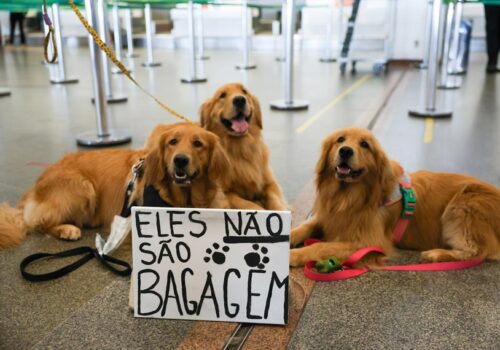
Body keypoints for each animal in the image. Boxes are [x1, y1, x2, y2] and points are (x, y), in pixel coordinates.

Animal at [0, 123, 230, 249]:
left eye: (198, 144)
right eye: (173, 142)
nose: (180, 160)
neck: (185, 199)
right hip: (83, 187)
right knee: (39, 222)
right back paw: (67, 229)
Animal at [197, 82, 288, 211]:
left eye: (244, 92)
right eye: (222, 95)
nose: (240, 100)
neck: (240, 149)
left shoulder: (270, 183)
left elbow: (275, 200)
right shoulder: (223, 193)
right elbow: (246, 204)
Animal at [290, 127, 500, 266]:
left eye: (364, 144)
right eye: (340, 140)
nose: (345, 151)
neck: (348, 197)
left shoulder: (370, 242)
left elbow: (321, 247)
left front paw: (293, 255)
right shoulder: (328, 217)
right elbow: (305, 226)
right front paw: (289, 236)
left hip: (463, 203)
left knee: (480, 250)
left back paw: (437, 254)